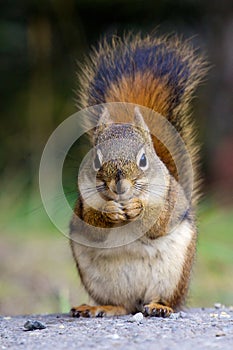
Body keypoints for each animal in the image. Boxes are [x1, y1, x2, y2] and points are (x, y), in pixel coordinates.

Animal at [68, 32, 206, 318]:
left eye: (143, 160)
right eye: (95, 160)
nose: (119, 186)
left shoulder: (170, 199)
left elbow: (160, 222)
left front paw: (137, 208)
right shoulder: (82, 204)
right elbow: (91, 225)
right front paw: (110, 212)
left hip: (173, 277)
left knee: (164, 299)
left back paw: (159, 306)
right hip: (103, 283)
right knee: (120, 304)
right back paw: (99, 307)